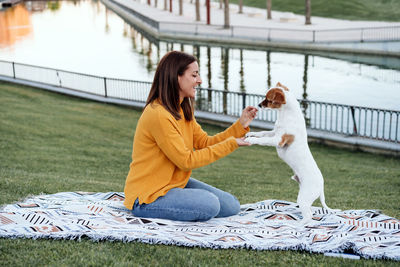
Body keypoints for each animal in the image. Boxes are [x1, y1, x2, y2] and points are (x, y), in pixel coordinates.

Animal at [244, 82, 334, 225]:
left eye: (269, 100)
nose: (258, 105)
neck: (286, 114)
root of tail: (321, 186)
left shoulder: (278, 140)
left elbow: (263, 140)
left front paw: (251, 140)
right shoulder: (274, 133)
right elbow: (262, 133)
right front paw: (251, 133)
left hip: (303, 198)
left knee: (309, 216)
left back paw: (296, 225)